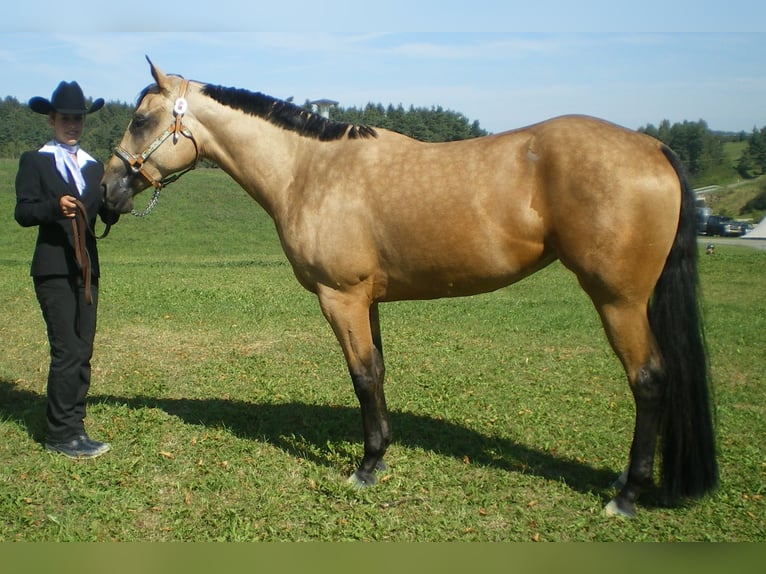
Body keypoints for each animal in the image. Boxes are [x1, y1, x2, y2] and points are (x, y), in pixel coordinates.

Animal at [102, 59, 720, 520]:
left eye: (141, 119)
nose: (107, 191)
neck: (309, 169)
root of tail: (652, 147)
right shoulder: (367, 300)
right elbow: (377, 372)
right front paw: (380, 454)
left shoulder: (341, 297)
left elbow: (361, 376)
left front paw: (365, 467)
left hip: (619, 302)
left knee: (649, 380)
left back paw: (626, 495)